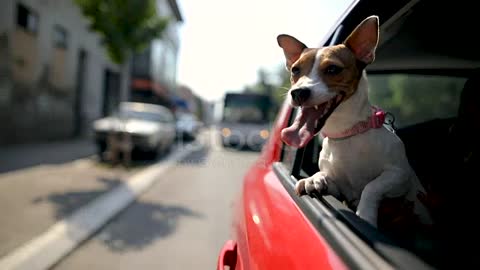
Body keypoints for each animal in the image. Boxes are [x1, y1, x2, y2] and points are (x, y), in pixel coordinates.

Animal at [276, 14, 434, 226]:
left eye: (333, 69)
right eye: (295, 70)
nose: (298, 92)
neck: (347, 134)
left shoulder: (398, 176)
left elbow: (372, 187)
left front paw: (365, 213)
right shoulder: (340, 189)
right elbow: (326, 178)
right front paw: (314, 179)